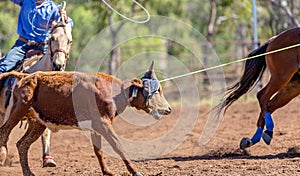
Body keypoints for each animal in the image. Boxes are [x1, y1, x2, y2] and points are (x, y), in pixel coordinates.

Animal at [0, 20, 72, 166]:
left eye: (69, 41)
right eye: (52, 38)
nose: (58, 65)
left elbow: (46, 133)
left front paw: (48, 159)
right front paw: (2, 156)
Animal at [0, 61, 171, 175]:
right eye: (157, 90)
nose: (169, 109)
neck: (114, 91)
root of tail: (24, 76)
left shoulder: (96, 126)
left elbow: (98, 150)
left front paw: (107, 171)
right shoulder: (103, 122)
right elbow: (117, 145)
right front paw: (135, 171)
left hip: (38, 122)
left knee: (22, 144)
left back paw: (28, 172)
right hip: (18, 109)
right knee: (4, 132)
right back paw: (3, 156)